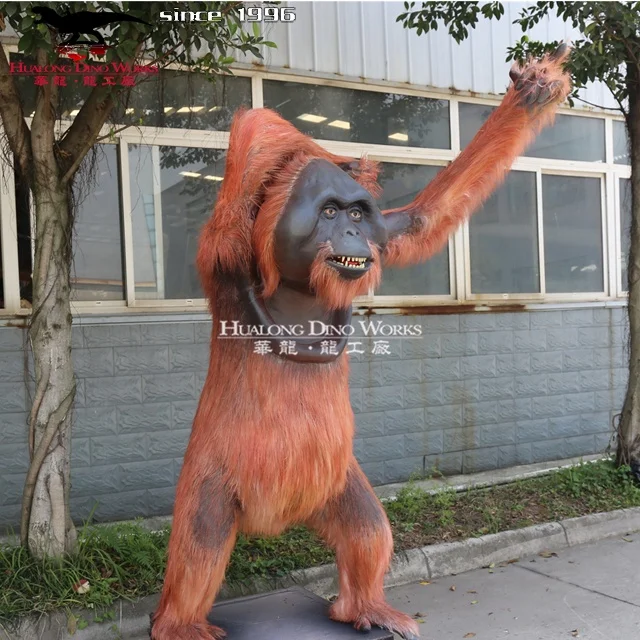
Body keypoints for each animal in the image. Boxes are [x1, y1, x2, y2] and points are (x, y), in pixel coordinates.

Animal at [150, 45, 571, 640]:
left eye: (356, 212)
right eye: (328, 211)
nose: (351, 232)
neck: (299, 285)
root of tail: (274, 522)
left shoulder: (386, 236)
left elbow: (422, 220)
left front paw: (534, 92)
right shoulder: (224, 258)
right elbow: (235, 197)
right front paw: (272, 141)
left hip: (333, 484)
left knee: (367, 527)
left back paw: (364, 607)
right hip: (210, 479)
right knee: (201, 540)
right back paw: (180, 623)